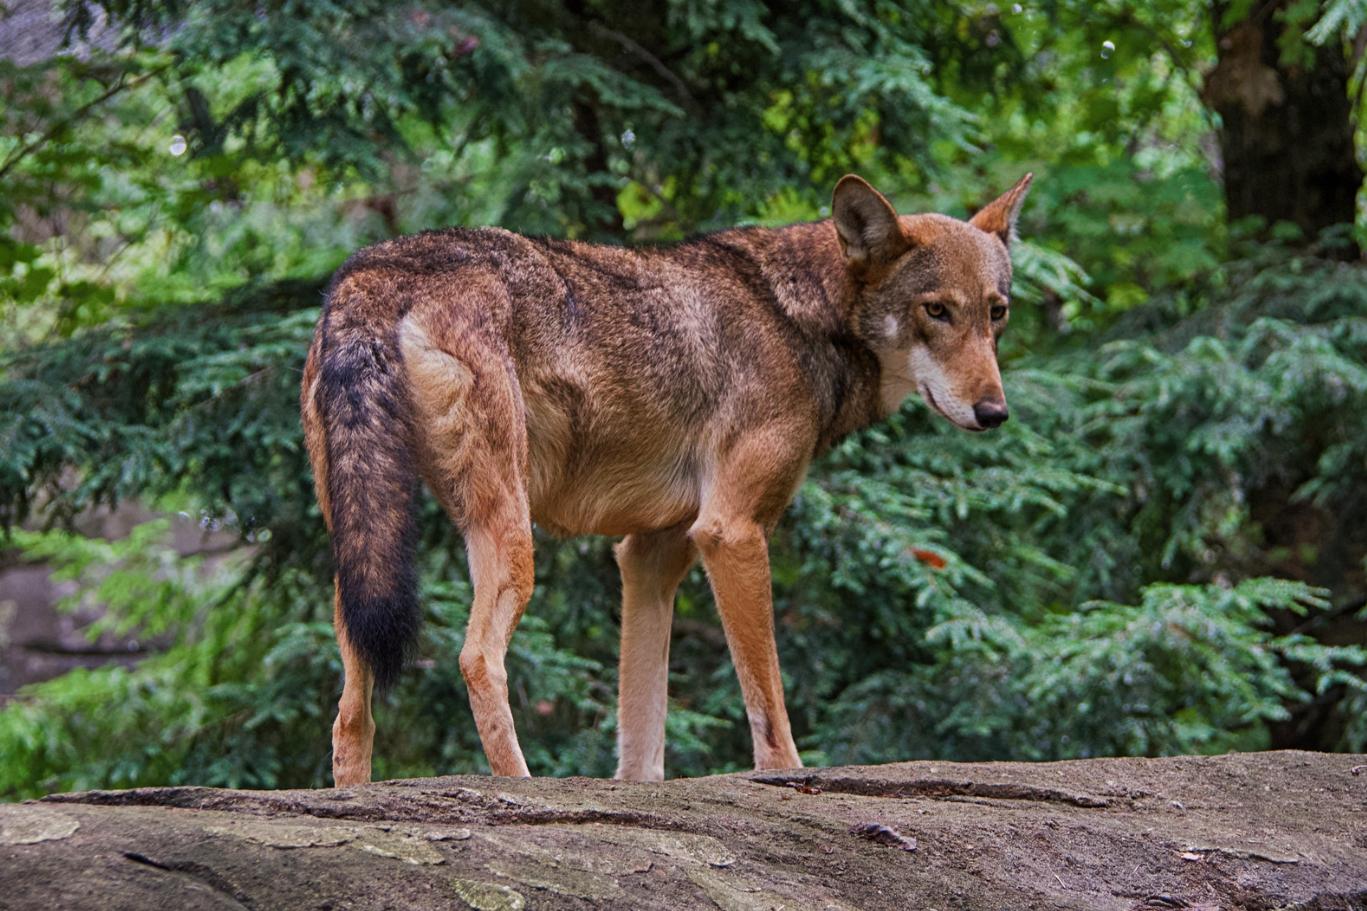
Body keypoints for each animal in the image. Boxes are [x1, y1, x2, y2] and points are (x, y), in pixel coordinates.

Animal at [299, 172, 1027, 782]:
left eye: (995, 311)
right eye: (936, 310)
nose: (995, 413)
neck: (796, 314)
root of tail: (373, 272)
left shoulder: (650, 555)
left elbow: (642, 734)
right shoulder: (729, 533)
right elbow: (769, 711)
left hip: (362, 557)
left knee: (349, 713)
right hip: (506, 539)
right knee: (476, 659)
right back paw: (521, 787)